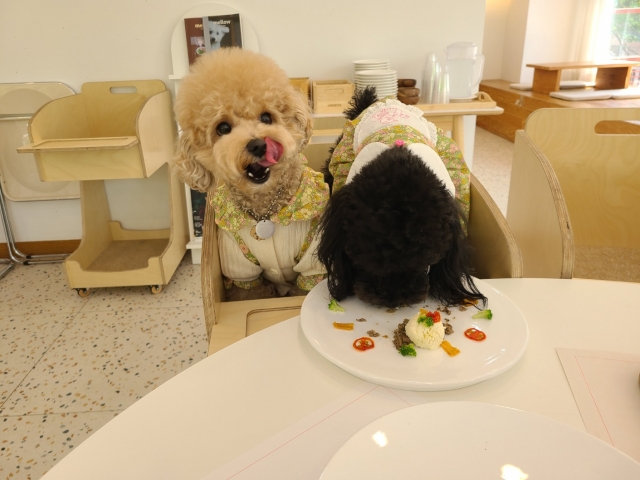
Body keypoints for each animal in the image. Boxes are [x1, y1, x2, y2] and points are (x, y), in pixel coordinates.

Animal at [172, 47, 328, 296]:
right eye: (223, 128)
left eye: (266, 117)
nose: (258, 145)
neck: (266, 209)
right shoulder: (242, 272)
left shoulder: (312, 268)